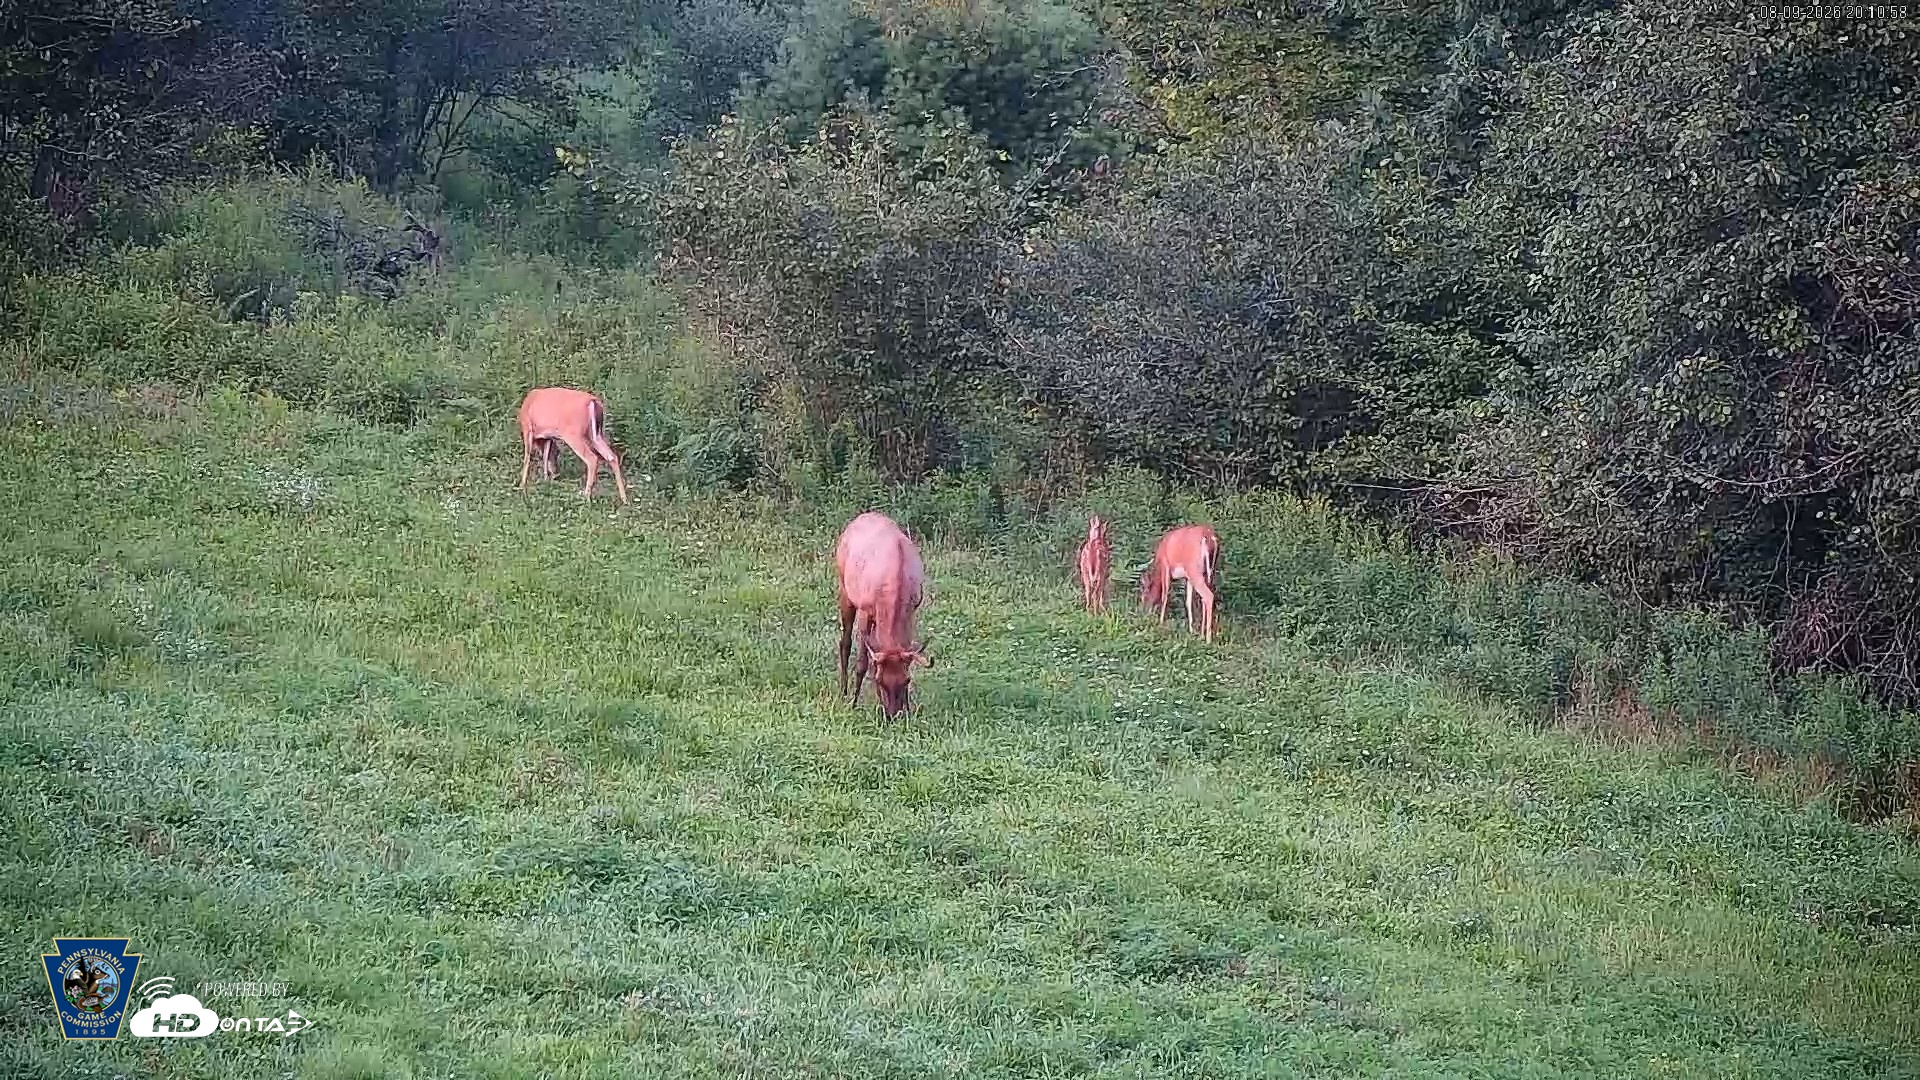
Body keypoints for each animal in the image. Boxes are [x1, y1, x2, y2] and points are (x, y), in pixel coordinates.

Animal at [835, 511, 932, 718]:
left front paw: (909, 709)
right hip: (845, 591)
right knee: (844, 642)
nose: (892, 716)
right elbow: (863, 663)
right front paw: (854, 702)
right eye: (879, 681)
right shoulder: (865, 611)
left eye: (907, 680)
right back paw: (843, 691)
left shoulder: (911, 611)